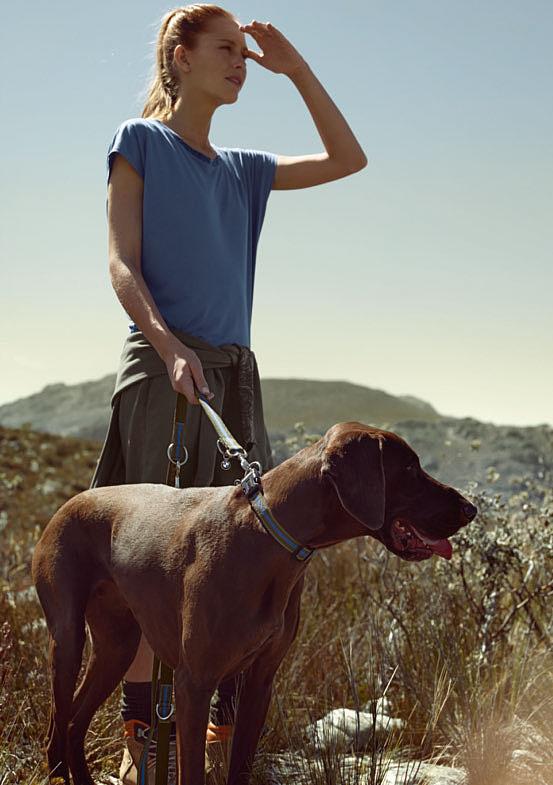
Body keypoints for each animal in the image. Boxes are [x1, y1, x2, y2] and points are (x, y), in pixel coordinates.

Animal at [33, 422, 474, 784]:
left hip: (118, 646)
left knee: (72, 723)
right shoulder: (194, 683)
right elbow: (193, 772)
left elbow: (241, 766)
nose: (470, 508)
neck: (269, 534)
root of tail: (69, 503)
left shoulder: (260, 681)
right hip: (69, 640)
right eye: (409, 469)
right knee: (58, 723)